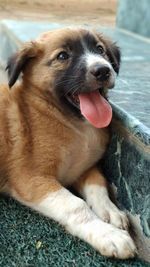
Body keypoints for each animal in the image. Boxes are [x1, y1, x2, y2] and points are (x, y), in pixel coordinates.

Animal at [0, 27, 136, 260]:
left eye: (100, 49)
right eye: (63, 56)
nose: (103, 70)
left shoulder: (84, 167)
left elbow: (98, 185)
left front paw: (110, 211)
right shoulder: (31, 178)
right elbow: (75, 205)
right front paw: (108, 234)